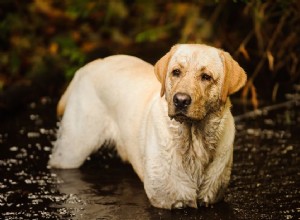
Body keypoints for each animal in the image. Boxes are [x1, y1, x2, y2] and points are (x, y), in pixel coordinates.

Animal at [48, 43, 246, 209]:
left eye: (206, 77)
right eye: (176, 72)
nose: (180, 100)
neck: (192, 144)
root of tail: (85, 68)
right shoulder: (164, 202)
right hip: (71, 151)